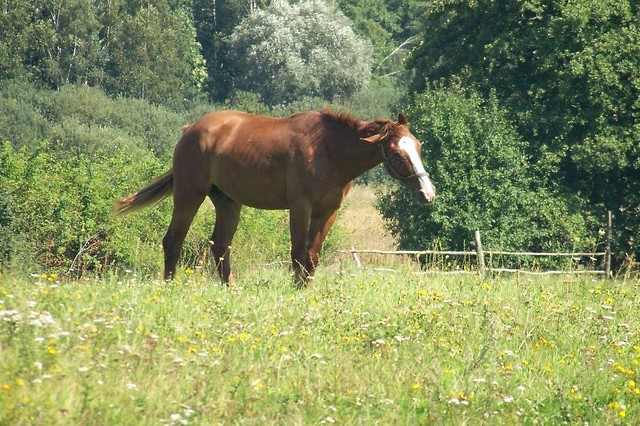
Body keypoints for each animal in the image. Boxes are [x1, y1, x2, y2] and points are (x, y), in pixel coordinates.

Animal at [114, 108, 436, 284]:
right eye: (397, 153)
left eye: (419, 146)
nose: (428, 193)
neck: (329, 151)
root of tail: (190, 129)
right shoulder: (300, 207)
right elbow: (298, 255)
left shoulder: (327, 212)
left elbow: (313, 257)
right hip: (189, 194)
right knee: (173, 241)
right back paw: (169, 286)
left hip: (228, 203)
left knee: (220, 246)